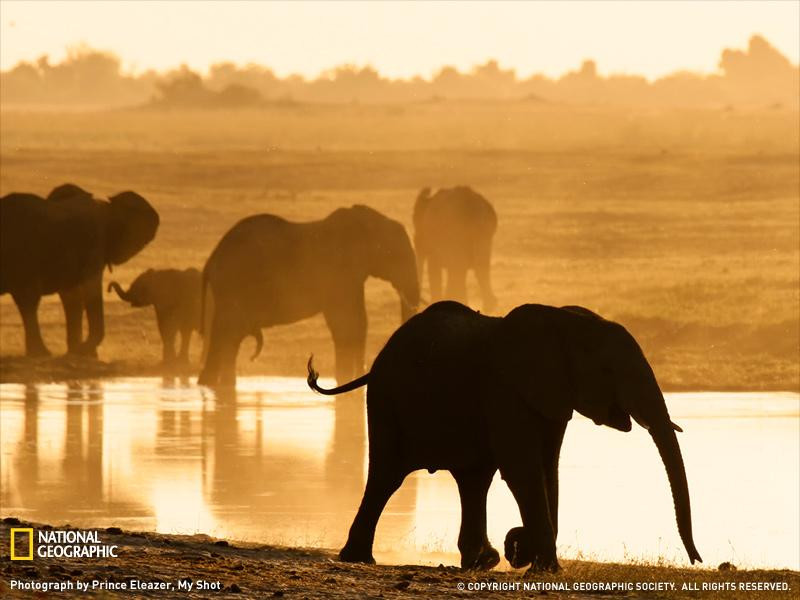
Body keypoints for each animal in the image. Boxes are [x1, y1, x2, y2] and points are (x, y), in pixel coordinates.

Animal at [0, 184, 159, 356]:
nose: (110, 288)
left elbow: (73, 297)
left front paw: (78, 352)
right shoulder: (93, 243)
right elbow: (88, 291)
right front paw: (85, 351)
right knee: (29, 300)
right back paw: (42, 353)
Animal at [198, 204, 418, 386]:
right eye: (396, 255)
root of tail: (212, 259)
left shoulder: (352, 277)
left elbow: (359, 321)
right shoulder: (336, 272)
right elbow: (345, 323)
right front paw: (346, 379)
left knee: (229, 337)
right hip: (233, 286)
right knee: (227, 334)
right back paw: (213, 386)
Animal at [310, 300, 704, 572]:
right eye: (608, 370)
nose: (698, 559)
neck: (566, 322)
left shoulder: (552, 397)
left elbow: (547, 469)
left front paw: (529, 557)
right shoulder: (505, 389)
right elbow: (524, 470)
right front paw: (542, 565)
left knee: (473, 480)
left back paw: (481, 561)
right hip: (386, 400)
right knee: (387, 476)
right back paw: (359, 559)